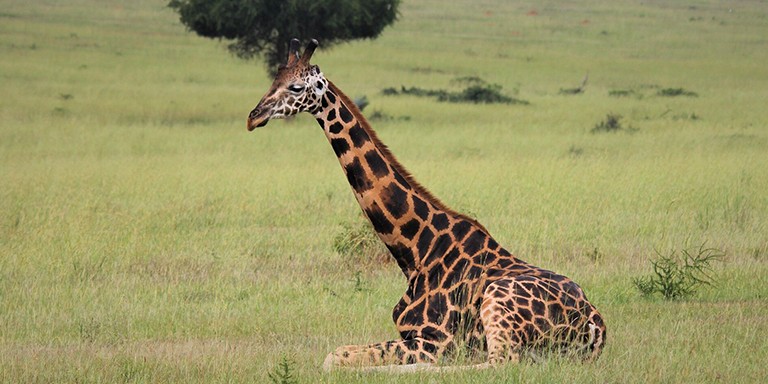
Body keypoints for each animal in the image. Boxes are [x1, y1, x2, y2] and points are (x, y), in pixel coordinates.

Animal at [246, 38, 608, 368]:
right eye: (274, 79)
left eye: (295, 86)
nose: (254, 116)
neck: (415, 251)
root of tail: (595, 326)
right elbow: (339, 354)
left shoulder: (434, 339)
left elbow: (335, 356)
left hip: (497, 304)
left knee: (496, 364)